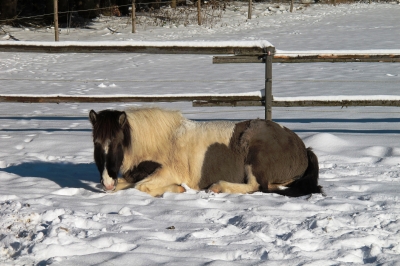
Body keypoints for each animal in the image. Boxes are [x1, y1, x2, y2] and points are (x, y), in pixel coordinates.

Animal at [88, 107, 322, 196]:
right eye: (96, 143)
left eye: (117, 143)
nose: (107, 182)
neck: (163, 141)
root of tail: (303, 148)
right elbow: (129, 185)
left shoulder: (167, 173)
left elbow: (141, 187)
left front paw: (178, 189)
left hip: (255, 157)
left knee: (256, 186)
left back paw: (218, 187)